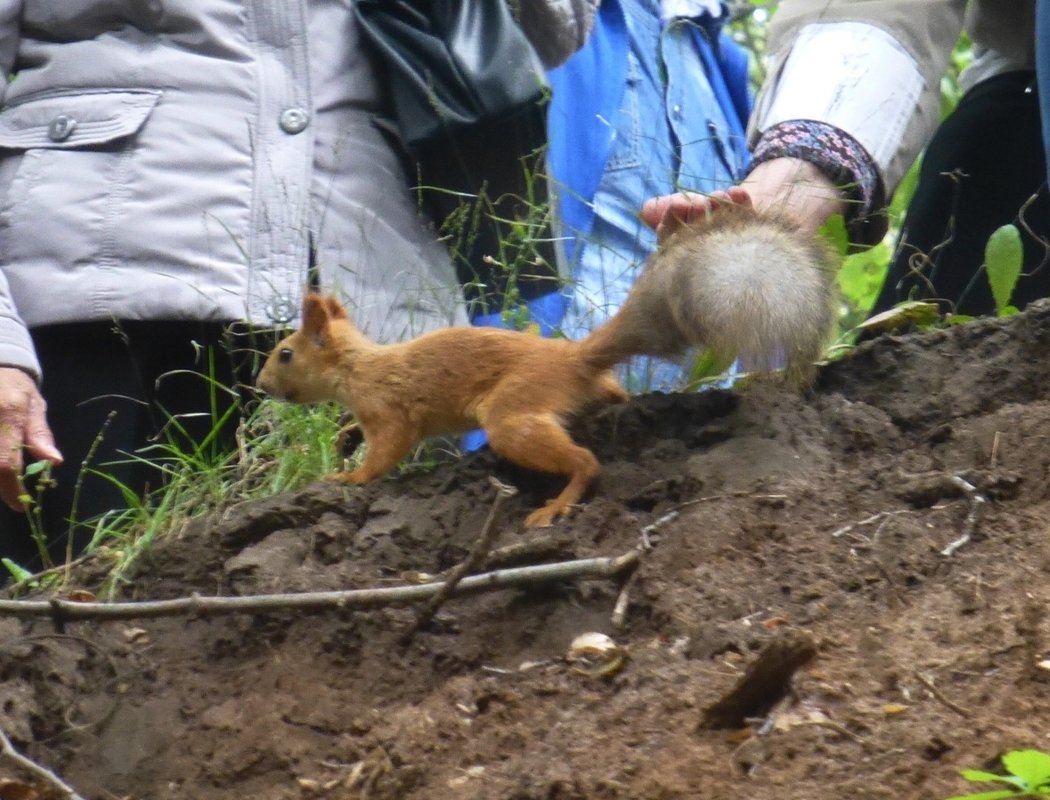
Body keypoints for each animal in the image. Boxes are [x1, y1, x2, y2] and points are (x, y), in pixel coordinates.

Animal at [256, 200, 835, 522]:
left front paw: (349, 477)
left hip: (510, 414)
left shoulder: (389, 411)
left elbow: (386, 453)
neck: (358, 366)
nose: (261, 384)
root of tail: (572, 358)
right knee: (608, 399)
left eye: (285, 354)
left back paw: (557, 505)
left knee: (585, 462)